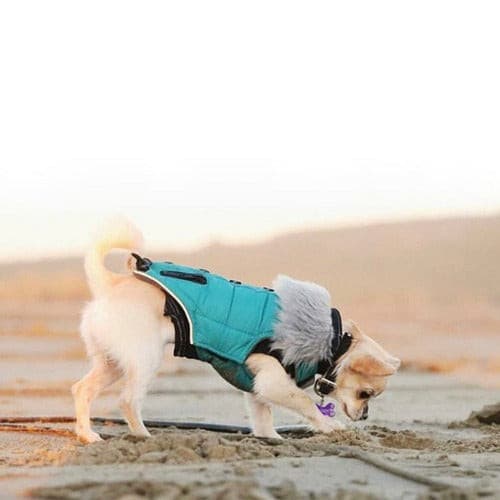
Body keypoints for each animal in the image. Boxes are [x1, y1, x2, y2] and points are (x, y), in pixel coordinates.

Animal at [71, 217, 398, 444]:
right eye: (366, 393)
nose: (365, 416)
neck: (334, 339)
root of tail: (111, 285)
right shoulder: (275, 382)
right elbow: (305, 403)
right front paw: (330, 426)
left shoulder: (258, 385)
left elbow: (263, 416)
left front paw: (272, 439)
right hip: (144, 359)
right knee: (127, 400)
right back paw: (143, 435)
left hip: (113, 362)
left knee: (82, 389)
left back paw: (88, 435)